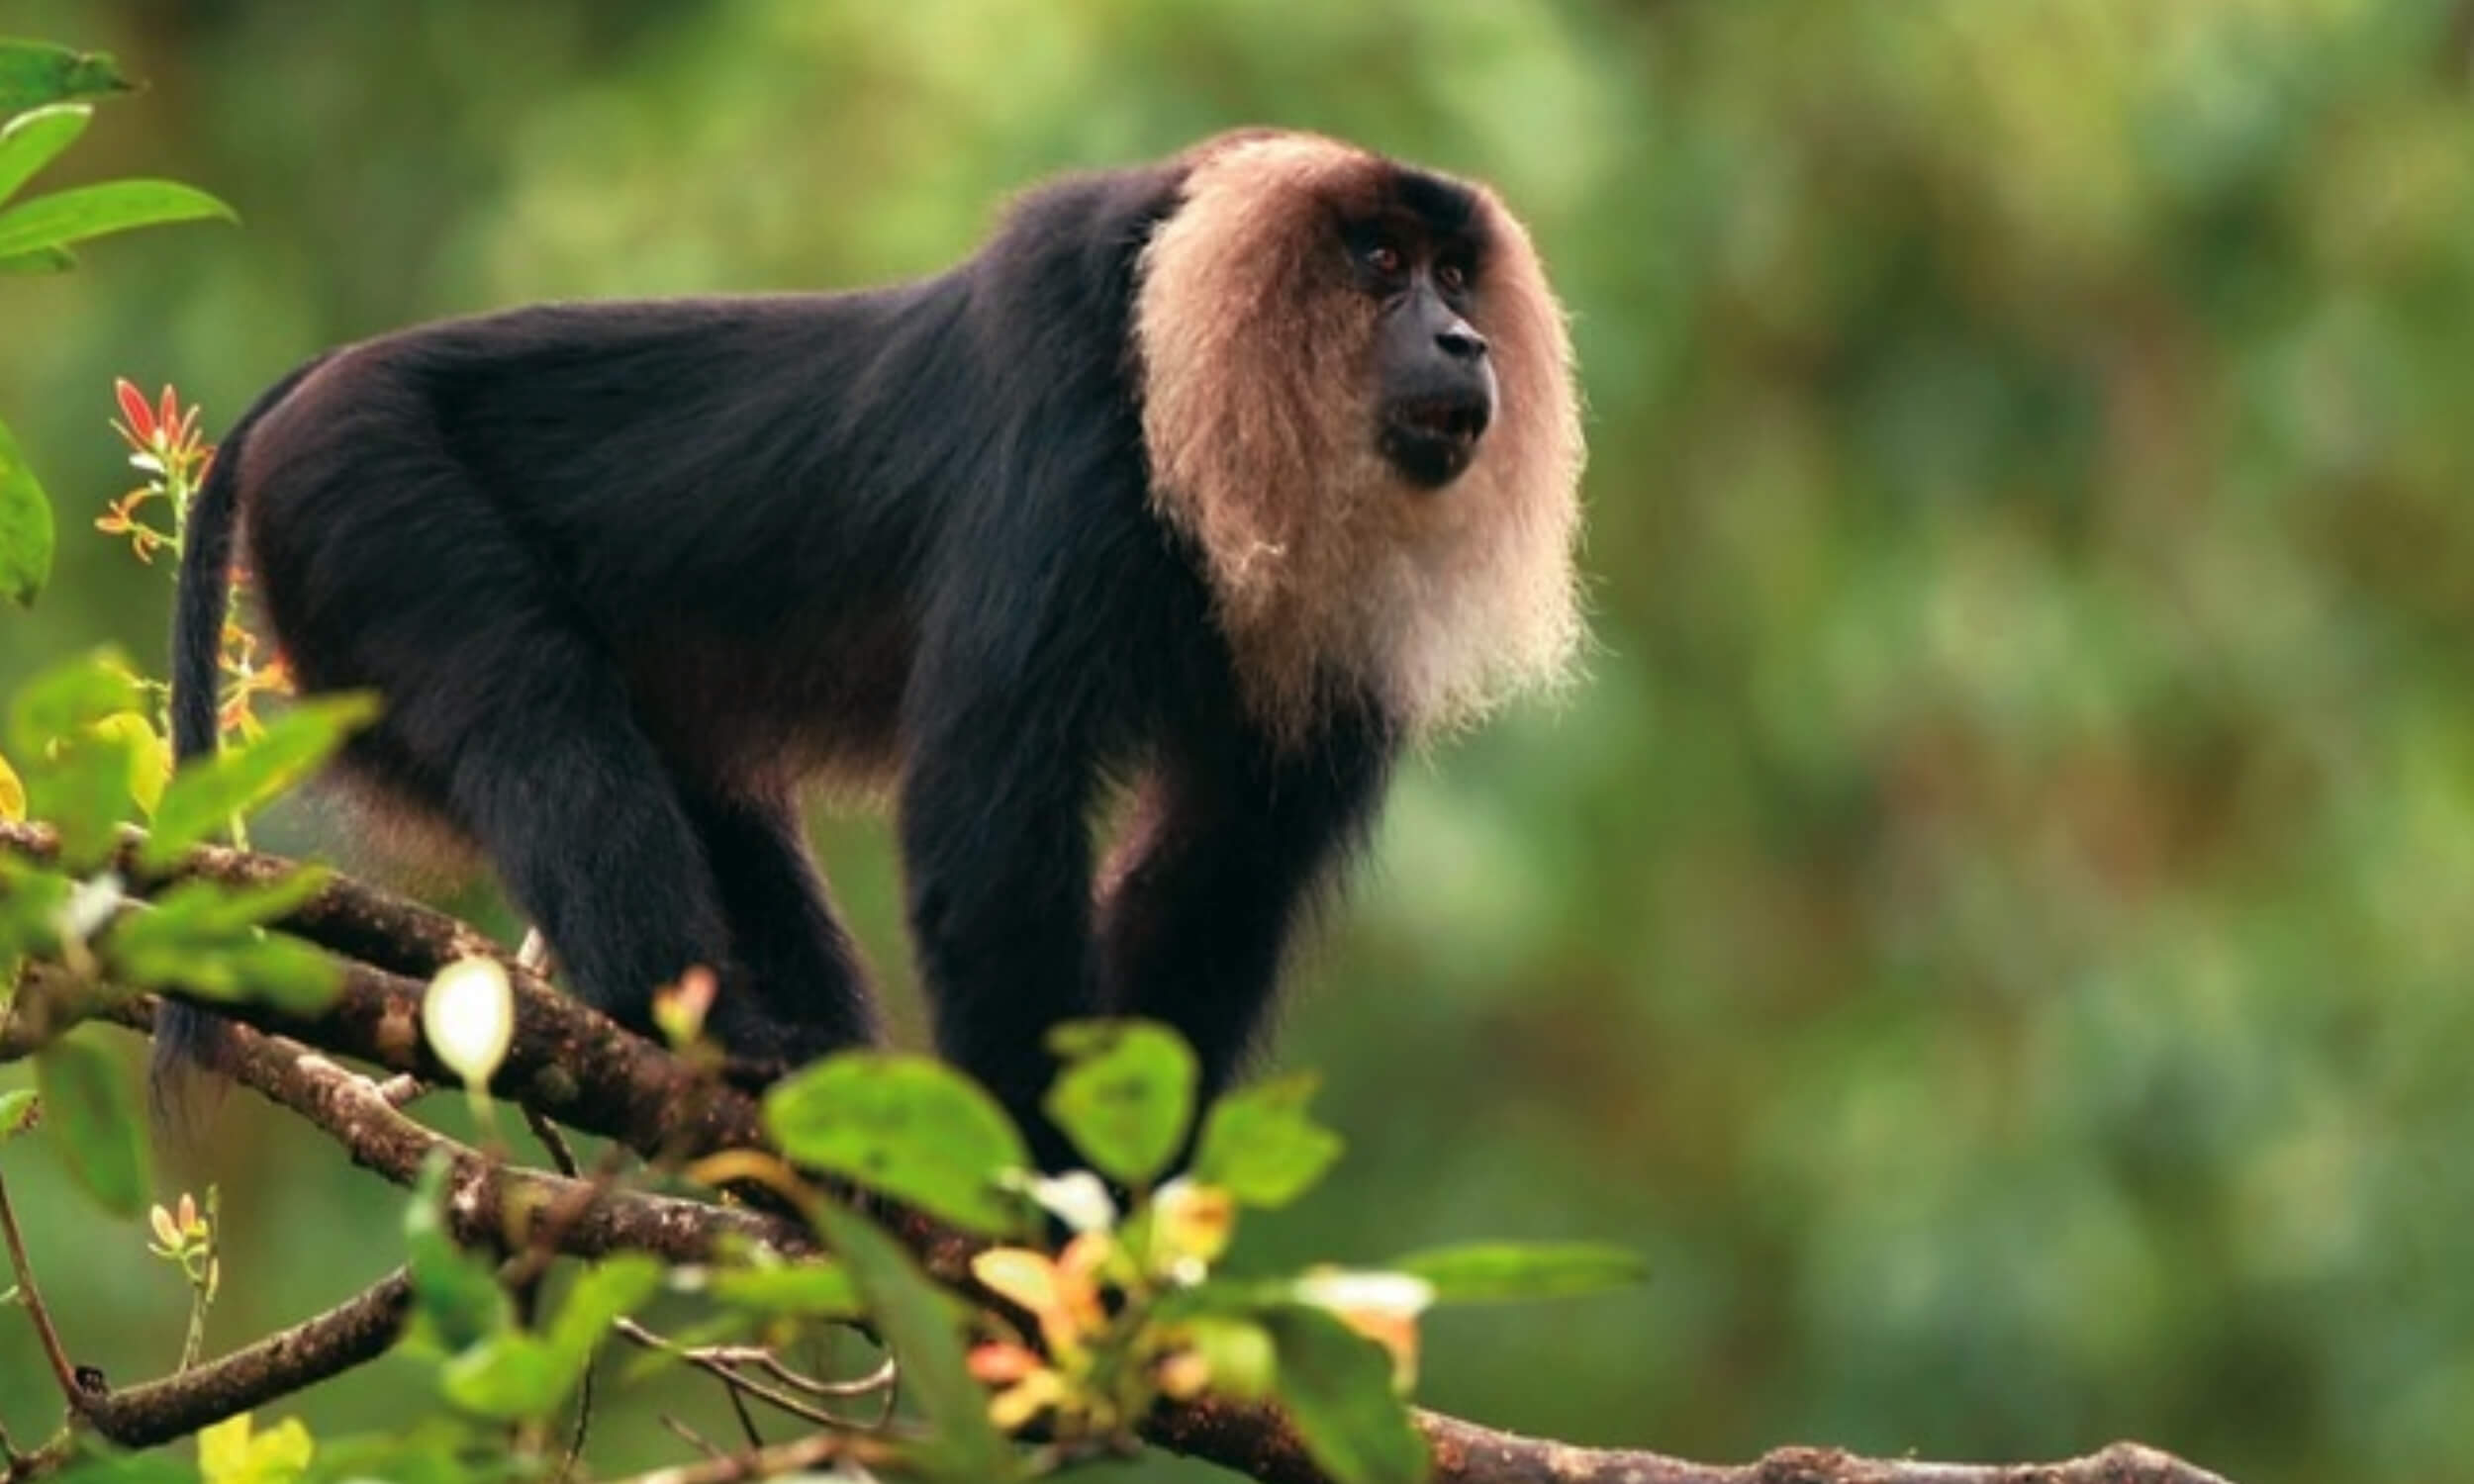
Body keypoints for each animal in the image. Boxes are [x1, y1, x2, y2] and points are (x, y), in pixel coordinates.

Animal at [159, 129, 1585, 1166]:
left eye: (1454, 276)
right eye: (1379, 261)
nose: (1461, 339)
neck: (1183, 398)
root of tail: (323, 379)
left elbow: (1219, 870)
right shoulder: (1068, 443)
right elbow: (991, 843)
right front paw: (1042, 1202)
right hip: (367, 493)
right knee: (531, 707)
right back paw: (706, 1028)